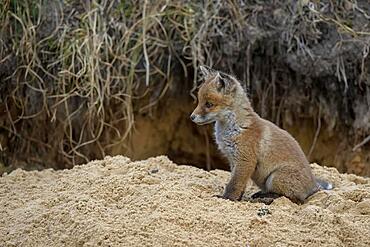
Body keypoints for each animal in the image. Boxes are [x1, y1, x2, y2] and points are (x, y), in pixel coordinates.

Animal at [191, 65, 332, 203]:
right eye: (199, 101)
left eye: (209, 104)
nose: (191, 117)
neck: (237, 128)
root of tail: (313, 187)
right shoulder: (233, 160)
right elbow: (239, 184)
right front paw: (238, 198)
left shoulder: (245, 160)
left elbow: (234, 184)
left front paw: (227, 198)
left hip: (275, 178)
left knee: (292, 199)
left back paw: (266, 198)